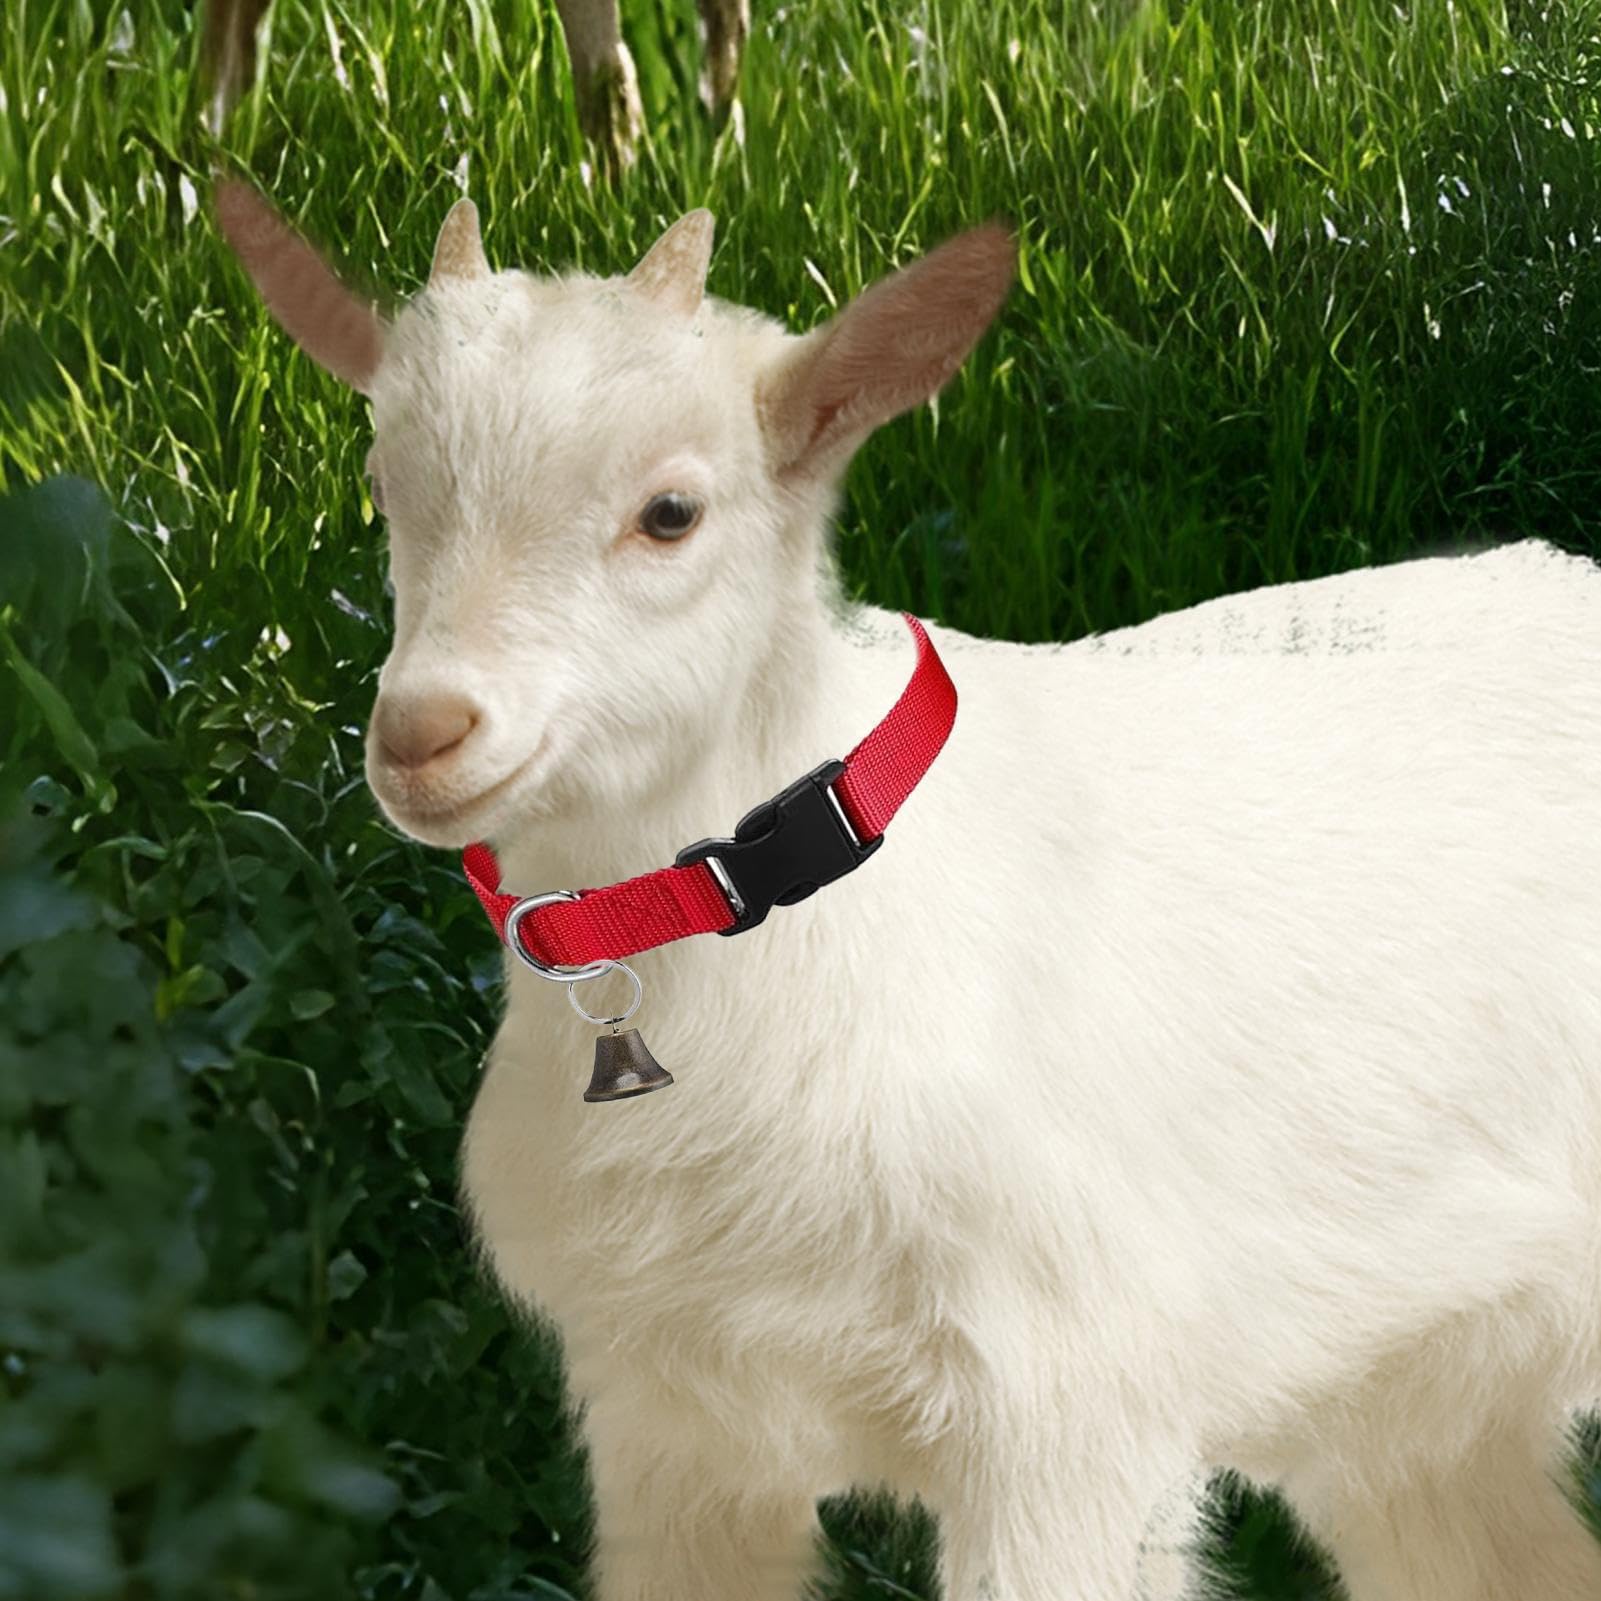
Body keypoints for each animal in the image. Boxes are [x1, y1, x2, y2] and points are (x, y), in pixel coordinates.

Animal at [215, 175, 1601, 1601]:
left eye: (671, 511)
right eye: (383, 482)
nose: (423, 733)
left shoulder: (1061, 1411)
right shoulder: (669, 1420)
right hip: (1418, 1398)